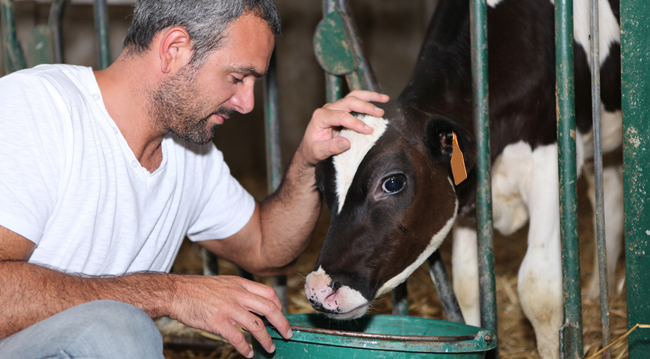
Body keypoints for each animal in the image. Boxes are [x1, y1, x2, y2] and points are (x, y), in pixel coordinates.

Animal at [302, 0, 616, 358]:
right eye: (322, 187)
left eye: (392, 183)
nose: (318, 290)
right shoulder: (469, 197)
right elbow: (467, 287)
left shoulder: (550, 163)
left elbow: (538, 290)